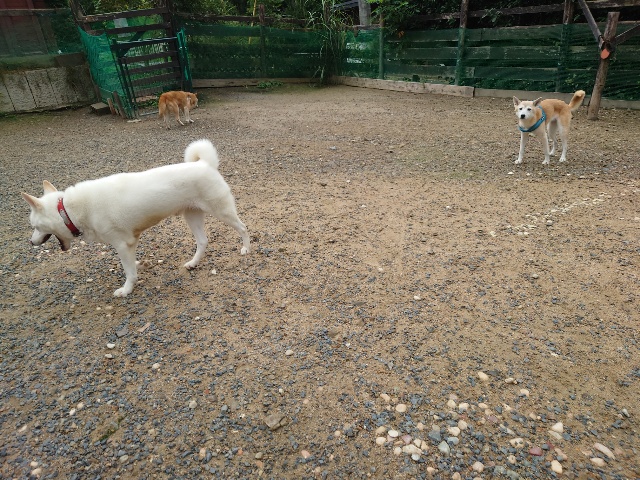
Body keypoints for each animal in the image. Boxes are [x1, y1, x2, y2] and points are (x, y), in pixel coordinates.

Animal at [21, 139, 250, 297]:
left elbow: (129, 272)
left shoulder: (123, 244)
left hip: (222, 211)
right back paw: (193, 263)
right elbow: (132, 264)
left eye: (34, 226)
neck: (68, 210)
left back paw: (246, 248)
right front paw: (141, 265)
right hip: (192, 216)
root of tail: (205, 164)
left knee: (243, 227)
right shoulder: (130, 243)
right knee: (203, 241)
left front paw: (126, 290)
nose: (30, 242)